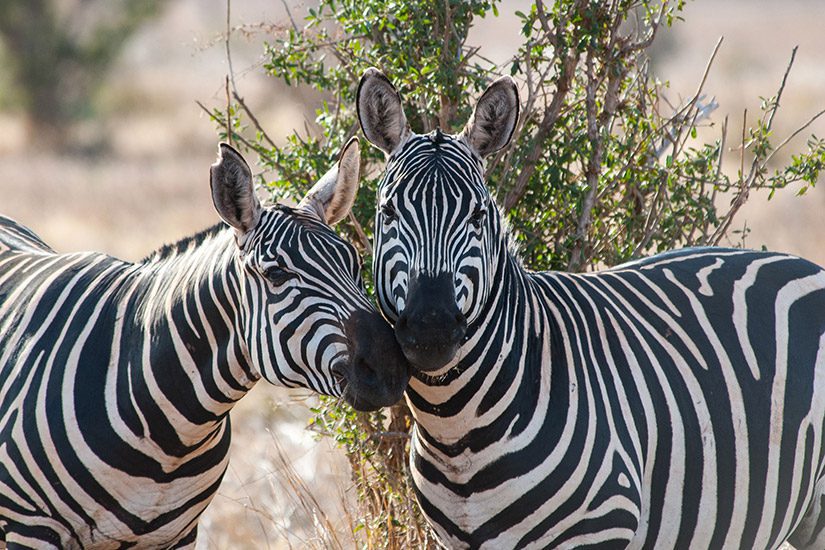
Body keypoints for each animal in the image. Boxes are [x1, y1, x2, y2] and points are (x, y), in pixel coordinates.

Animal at [0, 141, 408, 550]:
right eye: (277, 274)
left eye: (355, 263)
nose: (389, 367)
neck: (170, 435)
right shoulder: (32, 529)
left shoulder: (179, 534)